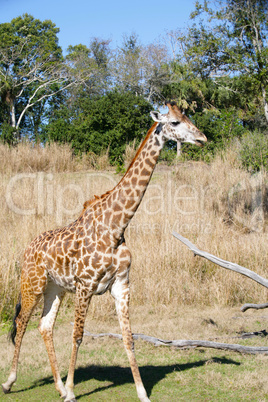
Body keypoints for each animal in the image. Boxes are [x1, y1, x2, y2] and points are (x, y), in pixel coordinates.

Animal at [1, 102, 207, 400]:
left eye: (188, 116)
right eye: (175, 123)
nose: (202, 137)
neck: (116, 227)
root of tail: (28, 248)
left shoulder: (121, 284)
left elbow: (129, 338)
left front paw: (142, 393)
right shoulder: (85, 285)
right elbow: (77, 335)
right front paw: (73, 391)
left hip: (55, 289)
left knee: (45, 326)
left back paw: (58, 386)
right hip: (32, 283)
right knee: (21, 323)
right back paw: (10, 382)